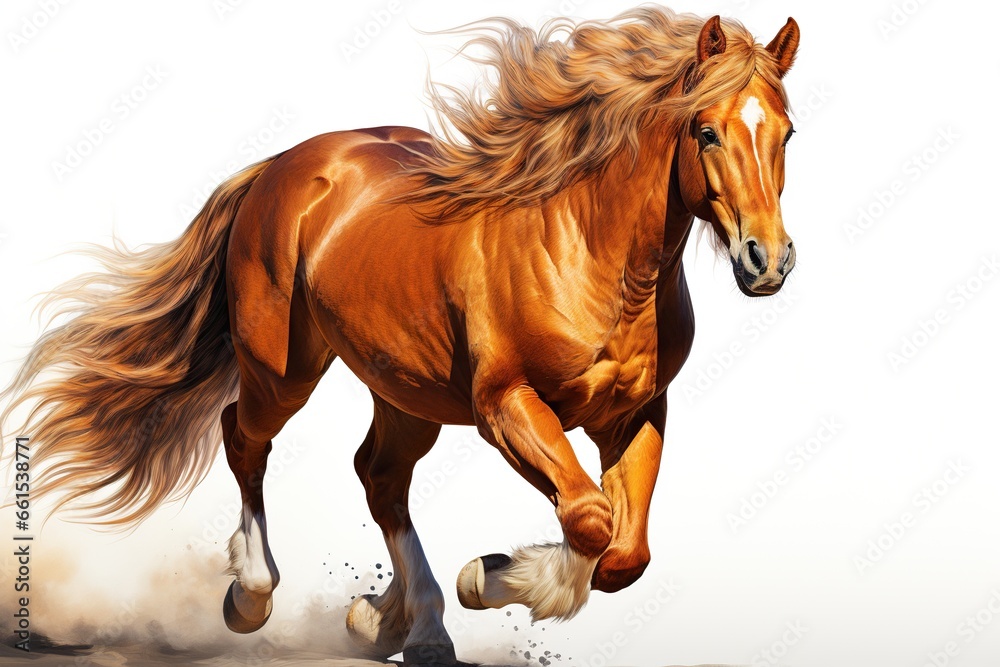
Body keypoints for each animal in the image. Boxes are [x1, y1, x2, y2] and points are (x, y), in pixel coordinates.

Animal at [0, 8, 800, 664]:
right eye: (706, 130)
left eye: (787, 133)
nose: (767, 259)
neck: (592, 256)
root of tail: (280, 166)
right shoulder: (504, 404)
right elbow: (588, 517)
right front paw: (494, 576)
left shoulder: (635, 413)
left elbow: (624, 551)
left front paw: (468, 586)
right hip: (284, 371)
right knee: (243, 435)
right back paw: (254, 596)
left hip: (405, 392)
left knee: (379, 477)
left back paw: (407, 626)